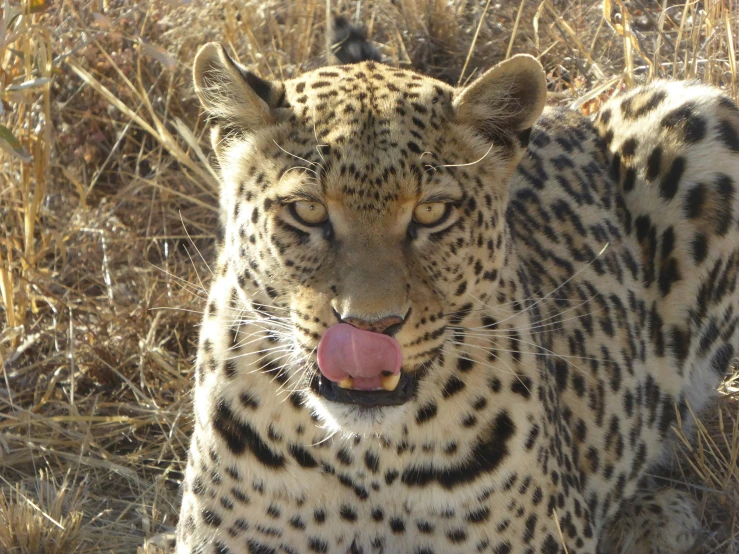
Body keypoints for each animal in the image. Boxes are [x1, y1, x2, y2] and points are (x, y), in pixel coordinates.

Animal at [173, 24, 739, 552]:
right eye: (308, 210)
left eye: (432, 213)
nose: (369, 327)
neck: (365, 462)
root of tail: (572, 111)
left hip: (702, 115)